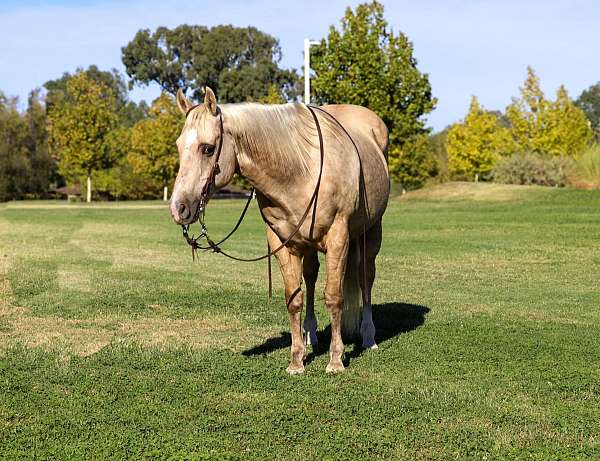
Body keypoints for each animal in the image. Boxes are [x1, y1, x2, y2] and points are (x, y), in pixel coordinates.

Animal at [171, 87, 392, 374]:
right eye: (178, 146)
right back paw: (310, 334)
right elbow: (293, 299)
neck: (300, 169)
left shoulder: (338, 238)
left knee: (366, 278)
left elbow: (334, 297)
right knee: (311, 276)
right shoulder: (283, 243)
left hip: (371, 233)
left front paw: (335, 360)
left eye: (207, 148)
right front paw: (297, 360)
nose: (178, 208)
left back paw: (368, 337)